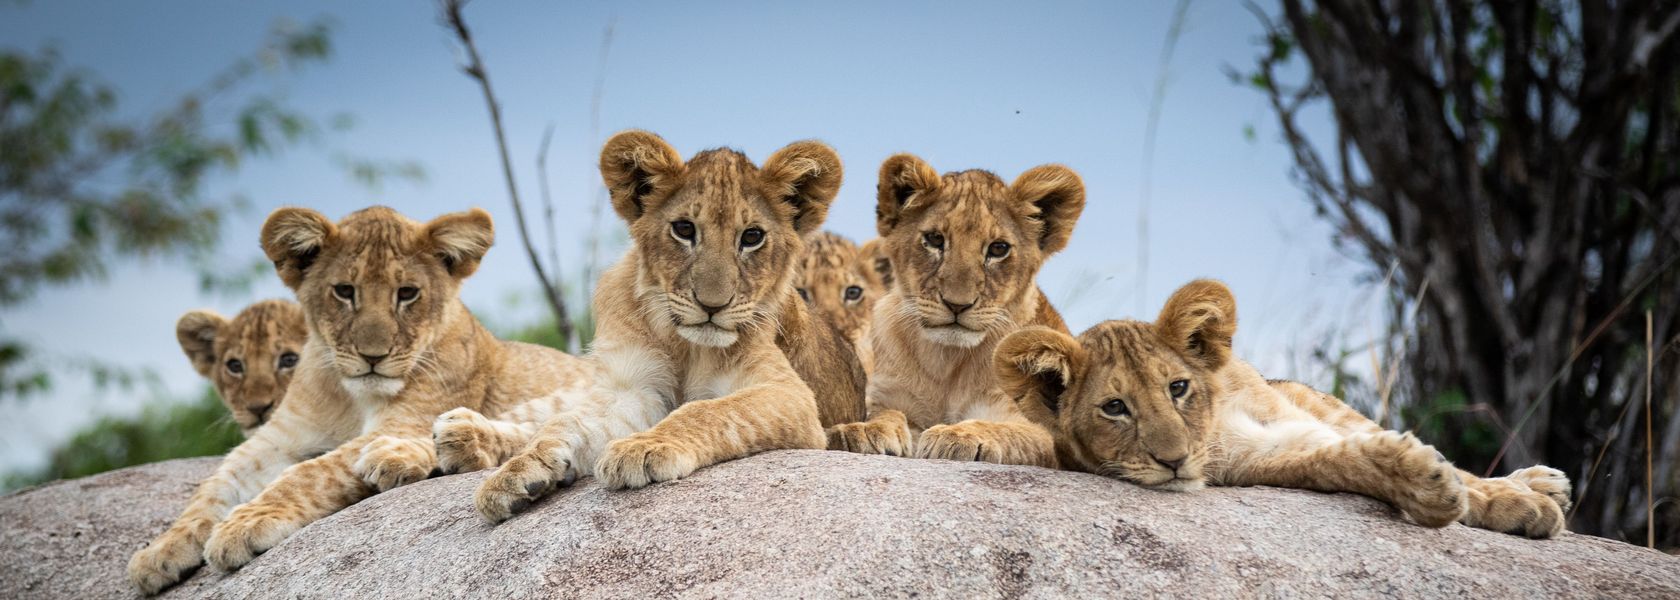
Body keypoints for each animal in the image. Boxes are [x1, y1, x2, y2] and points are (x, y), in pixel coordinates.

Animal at [467, 130, 866, 523]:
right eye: (684, 229)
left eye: (752, 237)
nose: (712, 305)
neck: (687, 345)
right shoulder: (636, 388)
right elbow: (567, 423)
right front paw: (519, 471)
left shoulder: (791, 396)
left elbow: (706, 409)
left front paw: (645, 447)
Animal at [826, 153, 1084, 468]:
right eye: (935, 240)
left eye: (998, 248)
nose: (957, 304)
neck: (946, 362)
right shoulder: (889, 396)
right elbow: (886, 414)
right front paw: (864, 430)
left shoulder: (1039, 429)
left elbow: (1005, 429)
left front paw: (957, 435)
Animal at [993, 279, 1574, 538]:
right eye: (1115, 408)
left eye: (1178, 388)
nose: (1174, 462)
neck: (1213, 428)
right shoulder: (1263, 458)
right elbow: (1342, 461)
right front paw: (1430, 488)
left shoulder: (1292, 421)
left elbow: (1461, 476)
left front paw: (1516, 500)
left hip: (1319, 402)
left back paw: (1542, 482)